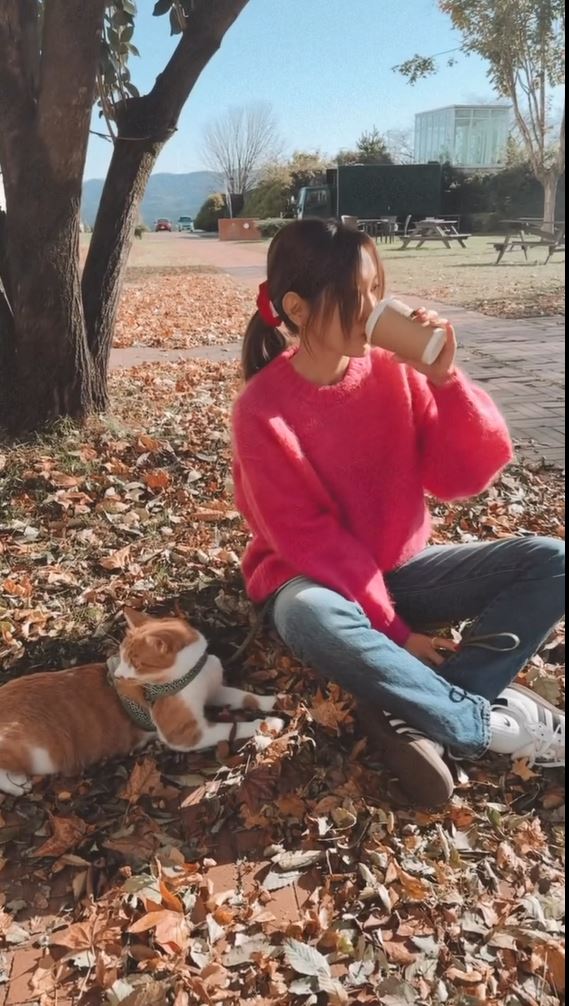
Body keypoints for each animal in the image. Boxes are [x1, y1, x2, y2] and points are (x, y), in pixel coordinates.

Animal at [0, 608, 283, 797]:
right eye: (122, 656)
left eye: (135, 661)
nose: (118, 675)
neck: (191, 673)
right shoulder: (185, 735)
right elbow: (232, 727)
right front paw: (269, 723)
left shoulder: (215, 691)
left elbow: (242, 695)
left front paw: (273, 700)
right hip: (35, 751)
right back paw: (16, 784)